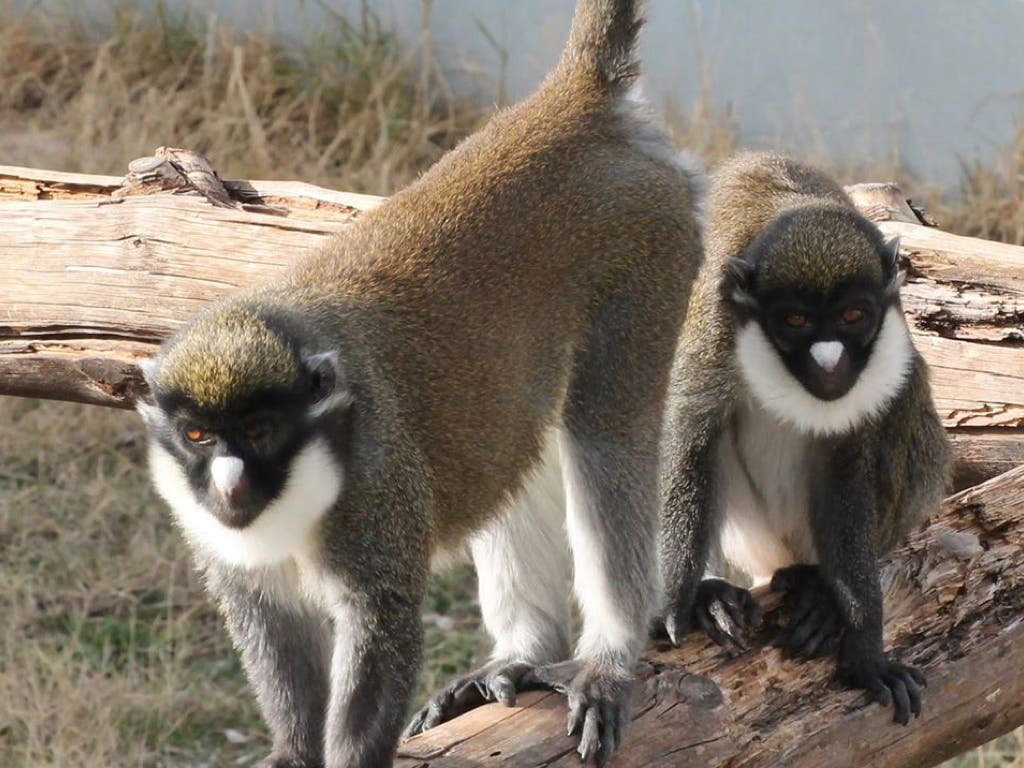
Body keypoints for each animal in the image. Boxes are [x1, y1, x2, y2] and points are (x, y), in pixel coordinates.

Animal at [136, 1, 704, 768]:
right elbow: (273, 631)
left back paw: (605, 661)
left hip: (649, 256)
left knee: (603, 436)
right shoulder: (229, 552)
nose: (228, 485)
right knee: (521, 452)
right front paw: (290, 748)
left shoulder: (376, 493)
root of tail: (571, 105)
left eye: (261, 431)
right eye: (198, 435)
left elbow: (384, 626)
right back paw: (523, 652)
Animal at [655, 150, 950, 729]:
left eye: (853, 315)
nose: (829, 361)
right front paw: (678, 602)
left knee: (908, 389)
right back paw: (716, 593)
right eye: (794, 320)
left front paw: (865, 647)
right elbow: (689, 434)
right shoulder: (715, 327)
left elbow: (849, 462)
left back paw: (818, 588)